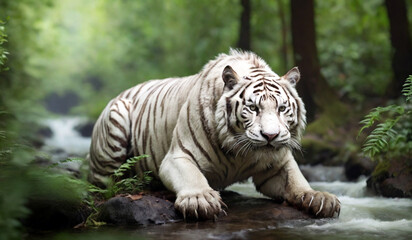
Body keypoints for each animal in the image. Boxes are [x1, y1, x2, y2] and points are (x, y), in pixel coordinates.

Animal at [87, 49, 342, 218]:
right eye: (253, 108)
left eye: (281, 108)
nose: (270, 136)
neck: (241, 154)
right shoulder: (177, 156)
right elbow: (192, 177)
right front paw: (199, 199)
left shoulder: (278, 164)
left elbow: (296, 179)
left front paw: (320, 197)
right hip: (115, 124)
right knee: (106, 182)